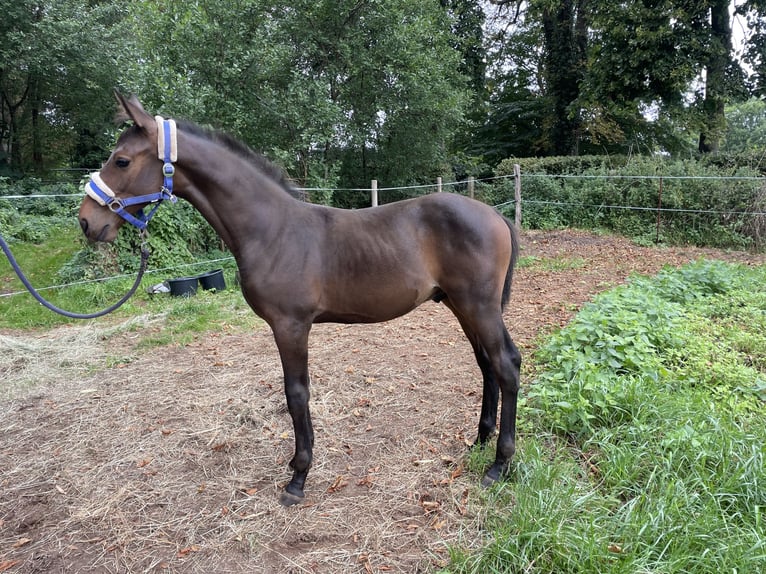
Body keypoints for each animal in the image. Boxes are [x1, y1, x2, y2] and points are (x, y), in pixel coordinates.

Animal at [78, 93, 522, 506]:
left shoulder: (290, 325)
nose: (86, 221)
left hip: (478, 305)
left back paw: (499, 464)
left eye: (121, 161)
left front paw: (298, 477)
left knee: (505, 364)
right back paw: (479, 442)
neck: (271, 230)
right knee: (486, 364)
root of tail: (497, 216)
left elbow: (296, 394)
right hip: (461, 305)